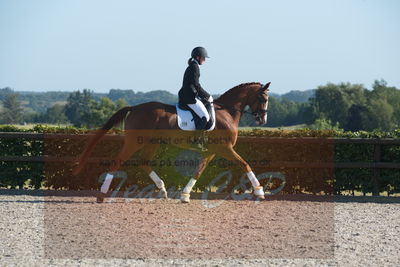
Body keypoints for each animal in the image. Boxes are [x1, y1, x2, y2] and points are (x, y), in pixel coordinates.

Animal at [73, 81, 270, 203]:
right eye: (262, 98)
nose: (262, 120)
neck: (227, 112)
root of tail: (135, 108)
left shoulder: (211, 151)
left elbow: (199, 170)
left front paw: (185, 195)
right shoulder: (225, 148)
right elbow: (244, 163)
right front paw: (259, 192)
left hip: (152, 142)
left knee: (144, 162)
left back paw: (162, 190)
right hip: (134, 142)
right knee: (117, 162)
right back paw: (101, 195)